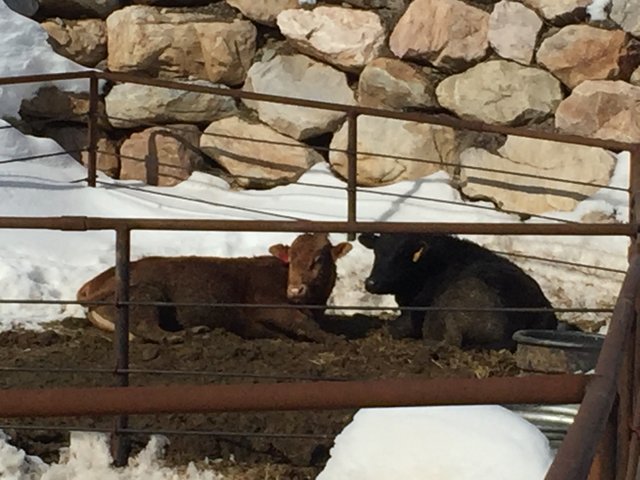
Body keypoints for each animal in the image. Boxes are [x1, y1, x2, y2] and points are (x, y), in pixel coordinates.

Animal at [77, 233, 352, 342]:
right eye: (291, 259)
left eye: (319, 259)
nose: (295, 290)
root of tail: (91, 285)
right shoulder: (271, 305)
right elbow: (300, 323)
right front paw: (333, 338)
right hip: (145, 294)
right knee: (148, 327)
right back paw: (181, 335)